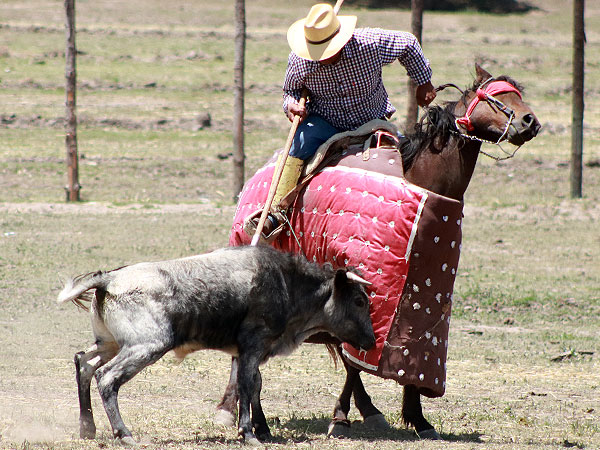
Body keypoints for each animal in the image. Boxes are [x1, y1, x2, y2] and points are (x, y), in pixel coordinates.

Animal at [57, 244, 376, 444]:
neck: (287, 282)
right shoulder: (253, 346)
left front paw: (262, 429)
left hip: (109, 344)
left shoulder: (250, 352)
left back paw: (87, 427)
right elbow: (246, 385)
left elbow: (255, 385)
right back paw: (124, 434)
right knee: (106, 377)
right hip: (146, 346)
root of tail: (108, 279)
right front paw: (248, 433)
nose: (372, 341)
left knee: (83, 363)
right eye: (359, 301)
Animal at [216, 63, 540, 440]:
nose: (530, 121)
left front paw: (415, 416)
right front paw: (342, 417)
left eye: (516, 94)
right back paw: (243, 414)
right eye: (494, 97)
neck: (421, 183)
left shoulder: (422, 296)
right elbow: (353, 356)